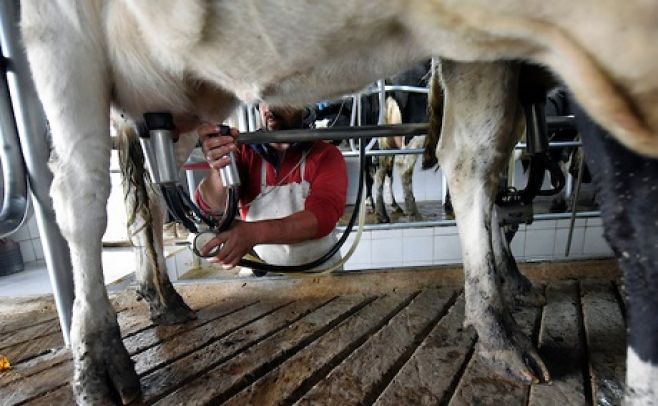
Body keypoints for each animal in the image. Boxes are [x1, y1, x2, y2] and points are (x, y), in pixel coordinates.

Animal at [18, 1, 652, 404]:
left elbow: (486, 156)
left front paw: (504, 302)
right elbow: (478, 157)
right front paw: (502, 322)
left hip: (162, 95)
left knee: (145, 196)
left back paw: (163, 298)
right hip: (64, 38)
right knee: (80, 193)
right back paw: (97, 365)